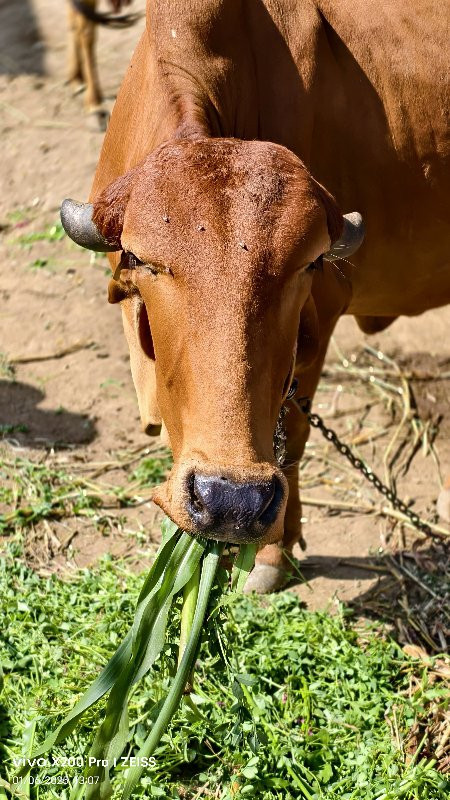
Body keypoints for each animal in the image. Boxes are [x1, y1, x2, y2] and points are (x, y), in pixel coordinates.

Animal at [60, 1, 450, 592]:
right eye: (145, 261)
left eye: (308, 263)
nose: (232, 502)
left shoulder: (323, 314)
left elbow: (294, 433)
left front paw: (272, 554)